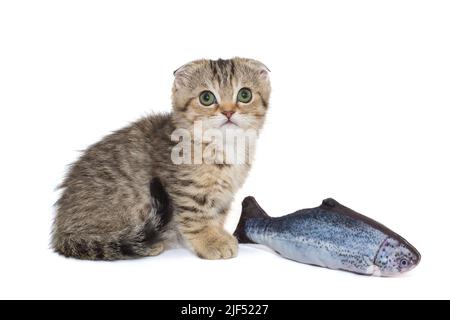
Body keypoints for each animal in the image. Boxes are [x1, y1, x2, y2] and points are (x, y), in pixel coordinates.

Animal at [52, 57, 270, 260]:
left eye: (244, 95)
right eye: (206, 97)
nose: (228, 111)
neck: (223, 145)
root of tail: (60, 231)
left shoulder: (225, 194)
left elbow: (217, 214)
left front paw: (218, 234)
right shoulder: (186, 189)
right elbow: (196, 217)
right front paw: (210, 241)